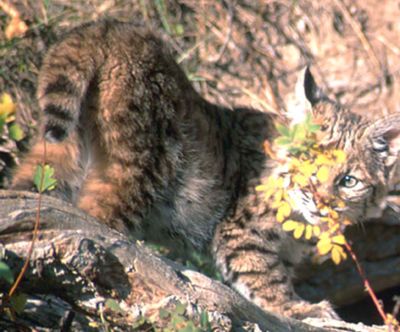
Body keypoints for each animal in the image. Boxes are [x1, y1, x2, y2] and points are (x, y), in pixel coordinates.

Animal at [10, 20, 400, 320]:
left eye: (348, 181)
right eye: (305, 162)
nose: (317, 199)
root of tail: (112, 28)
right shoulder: (242, 234)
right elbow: (267, 282)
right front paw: (302, 310)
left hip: (61, 151)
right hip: (139, 168)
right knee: (94, 220)